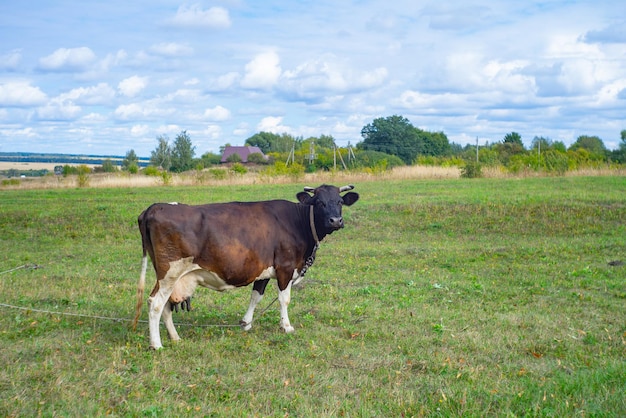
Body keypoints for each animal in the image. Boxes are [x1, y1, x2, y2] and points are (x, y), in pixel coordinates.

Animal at [132, 185, 358, 348]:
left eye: (339, 202)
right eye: (319, 202)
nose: (336, 220)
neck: (298, 222)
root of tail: (155, 207)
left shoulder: (264, 270)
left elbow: (256, 296)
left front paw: (246, 323)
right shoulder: (285, 268)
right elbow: (284, 299)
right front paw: (286, 326)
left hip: (168, 276)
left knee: (164, 305)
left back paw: (175, 337)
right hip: (170, 272)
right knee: (156, 304)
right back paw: (157, 344)